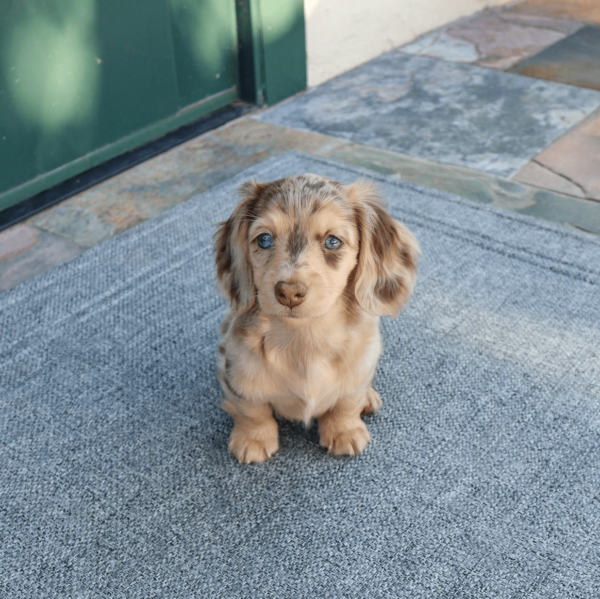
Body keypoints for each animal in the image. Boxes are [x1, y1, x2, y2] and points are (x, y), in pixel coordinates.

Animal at [214, 173, 418, 464]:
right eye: (264, 239)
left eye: (333, 241)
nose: (288, 292)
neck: (303, 339)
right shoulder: (235, 368)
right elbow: (251, 408)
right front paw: (253, 438)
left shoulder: (362, 363)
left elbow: (347, 402)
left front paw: (344, 430)